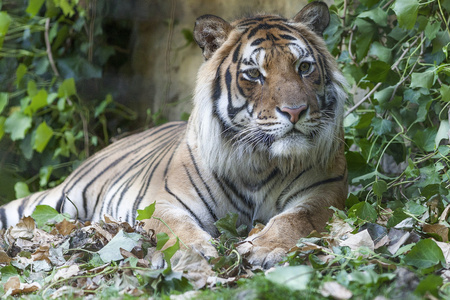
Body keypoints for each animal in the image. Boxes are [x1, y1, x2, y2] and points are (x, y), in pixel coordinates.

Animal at [0, 0, 348, 268]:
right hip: (57, 200)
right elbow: (174, 225)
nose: (295, 111)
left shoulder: (325, 191)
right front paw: (195, 250)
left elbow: (297, 218)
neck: (260, 163)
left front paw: (265, 247)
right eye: (253, 74)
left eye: (304, 67)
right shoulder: (161, 199)